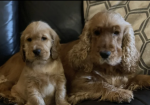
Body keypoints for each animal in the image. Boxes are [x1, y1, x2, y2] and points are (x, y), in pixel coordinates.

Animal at [0, 11, 150, 104]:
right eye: (96, 32)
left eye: (116, 32)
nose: (105, 54)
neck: (108, 68)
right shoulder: (79, 83)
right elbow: (102, 84)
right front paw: (120, 93)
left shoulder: (126, 78)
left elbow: (139, 77)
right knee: (6, 86)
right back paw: (9, 98)